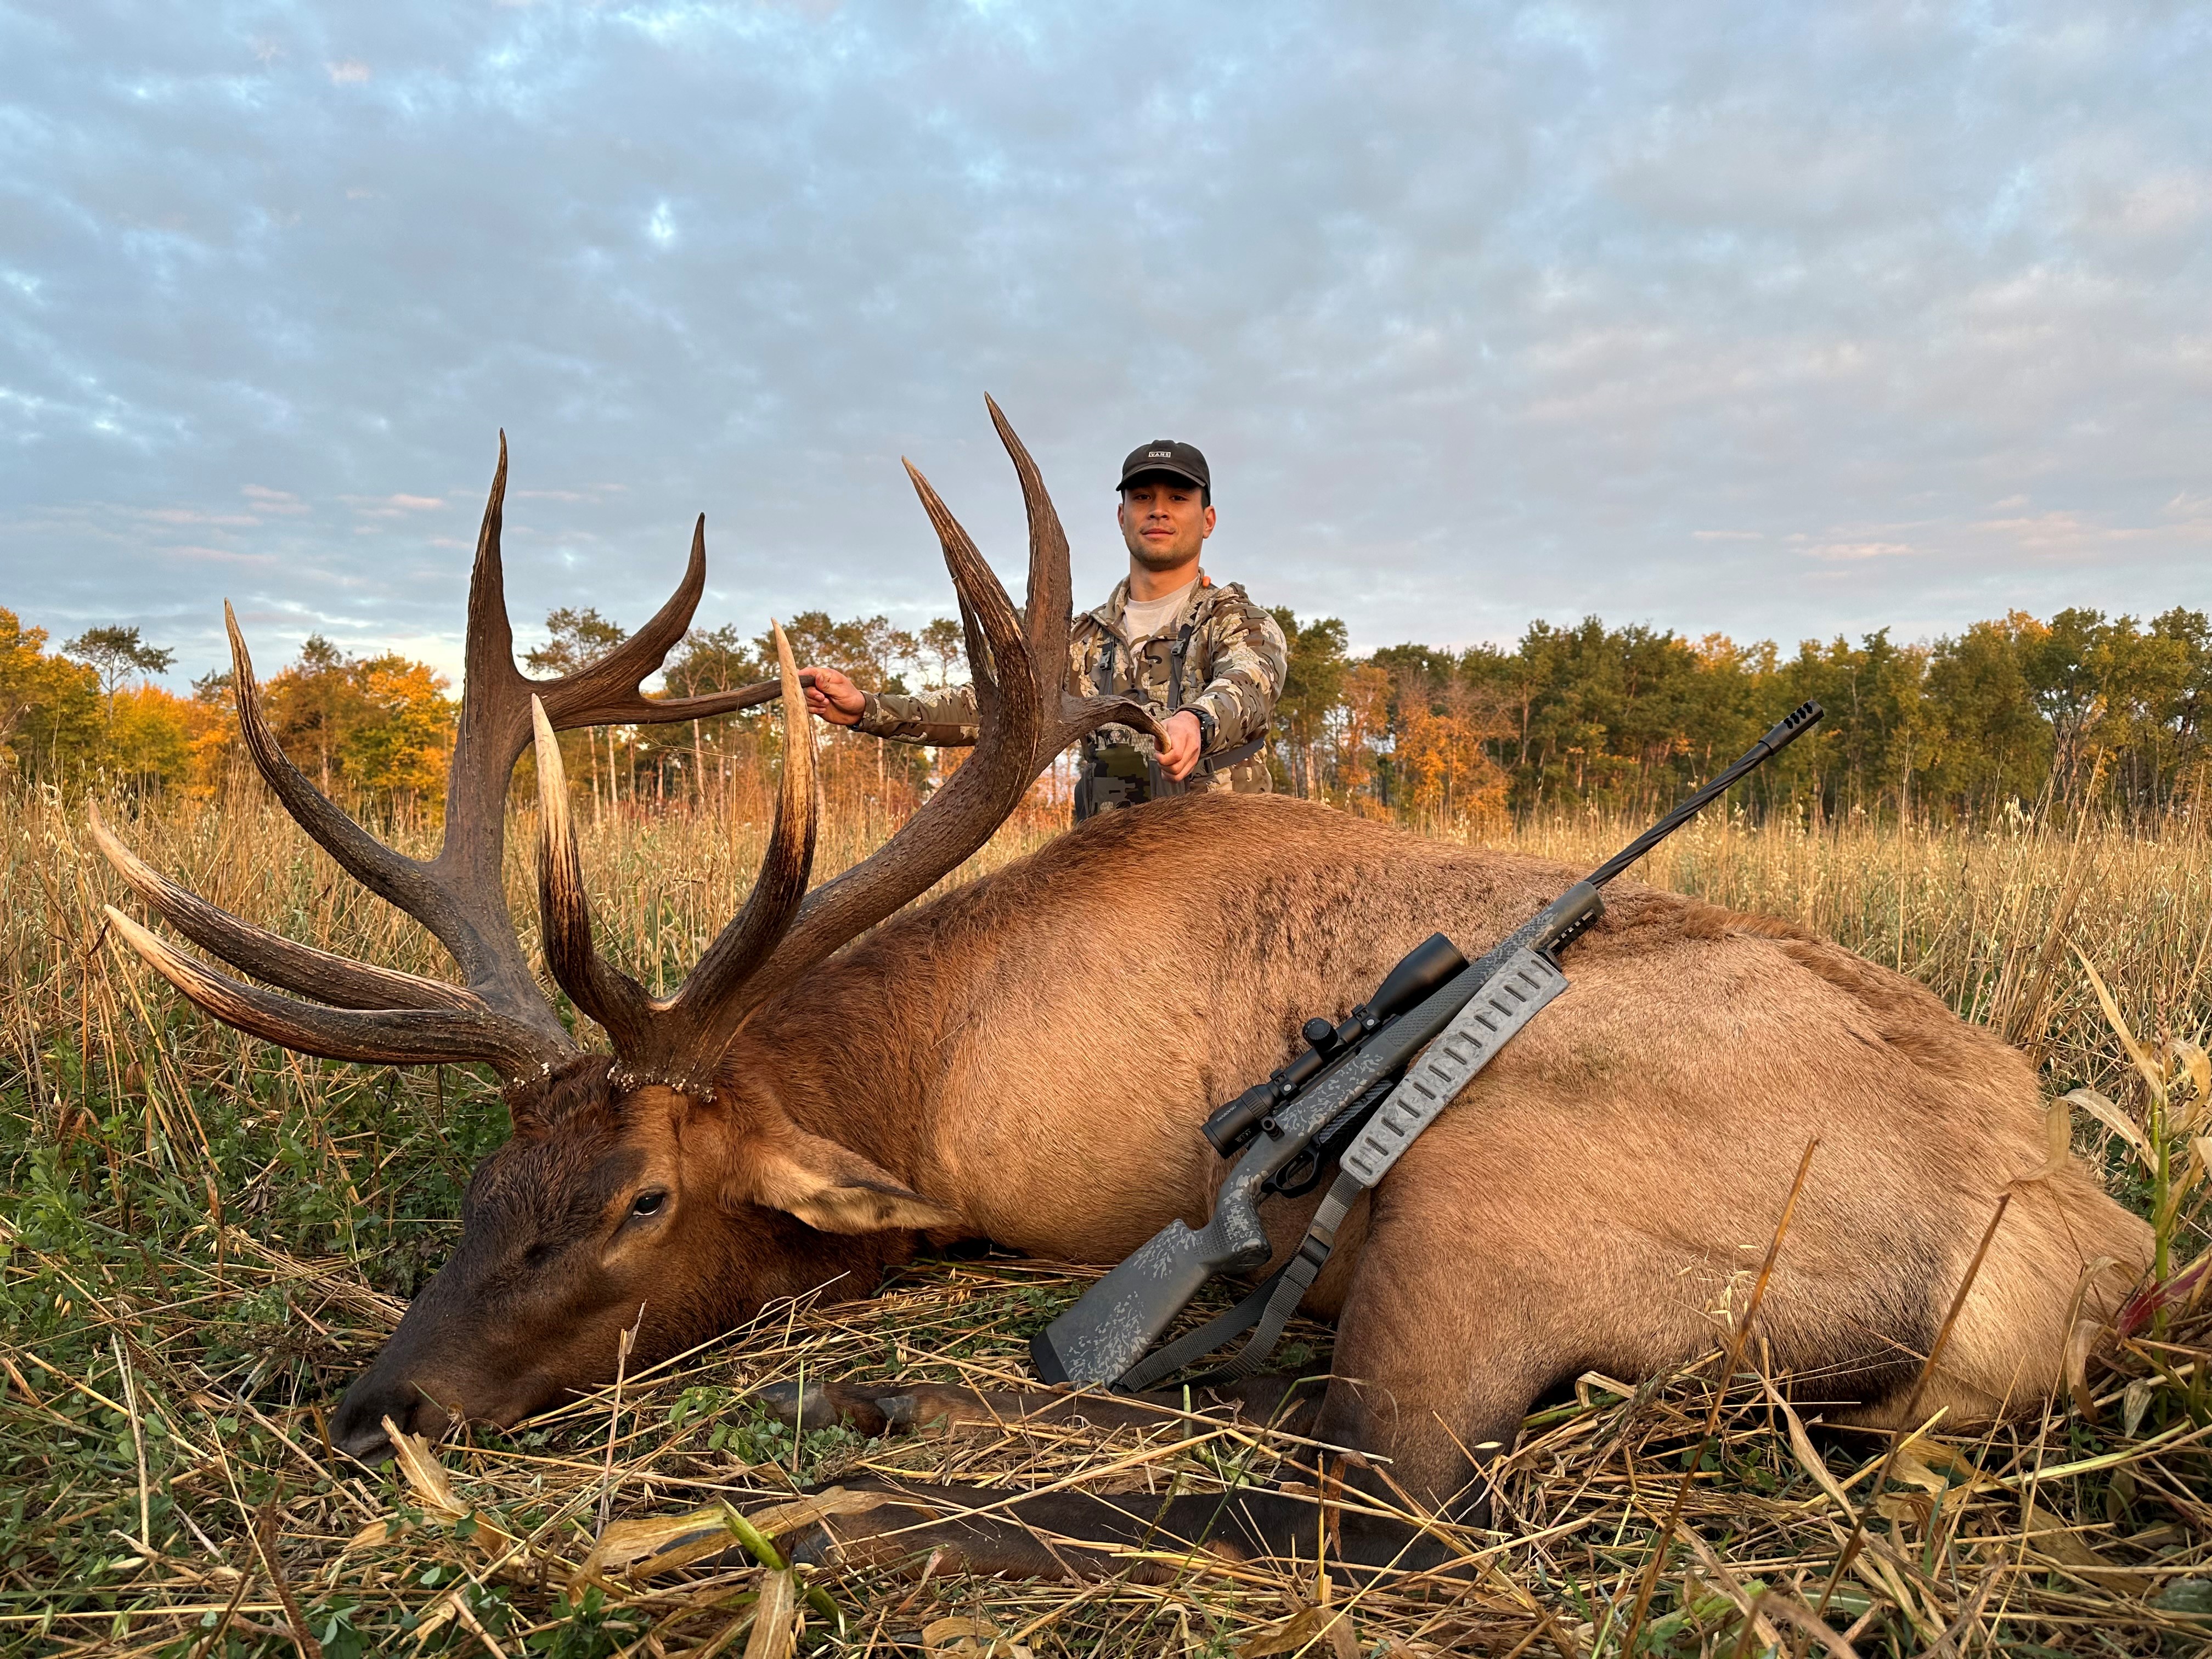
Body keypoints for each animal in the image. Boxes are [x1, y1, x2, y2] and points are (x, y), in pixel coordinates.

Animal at [95, 401, 2151, 1581]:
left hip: (1488, 1190)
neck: (925, 1068)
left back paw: (850, 1476)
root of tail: (2066, 1259)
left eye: (641, 1201)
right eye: (479, 1188)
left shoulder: (1045, 1196)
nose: (390, 1406)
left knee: (1391, 1498)